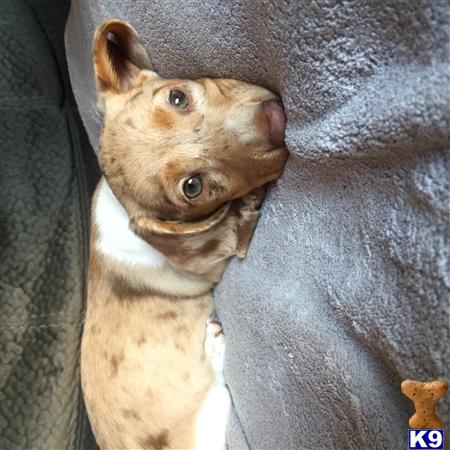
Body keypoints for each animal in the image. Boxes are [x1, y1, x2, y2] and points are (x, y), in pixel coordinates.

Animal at [81, 18, 288, 450]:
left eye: (178, 98)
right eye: (192, 187)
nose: (276, 118)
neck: (120, 209)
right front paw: (243, 209)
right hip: (212, 417)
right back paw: (215, 346)